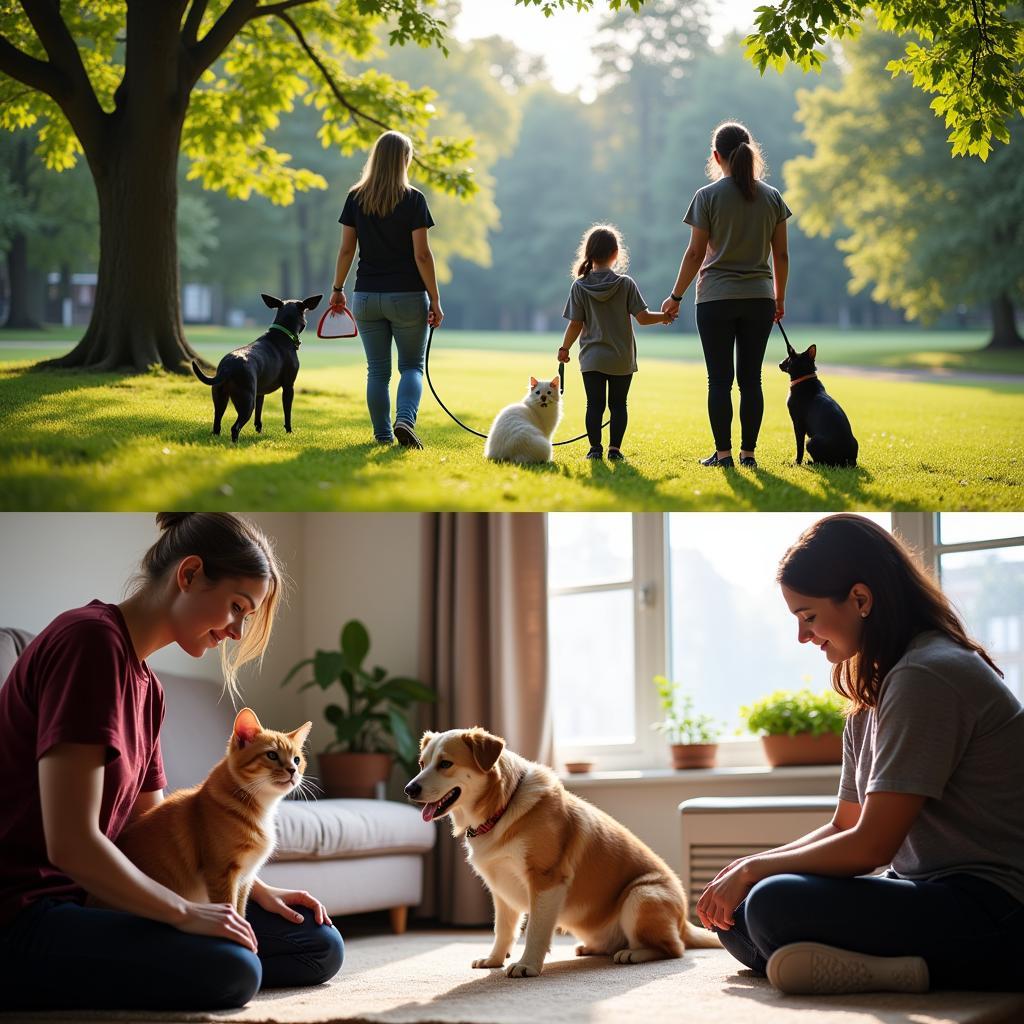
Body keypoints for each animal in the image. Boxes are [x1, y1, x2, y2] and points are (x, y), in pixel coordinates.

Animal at [117, 708, 311, 917]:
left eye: (297, 760)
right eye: (272, 755)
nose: (293, 770)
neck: (261, 810)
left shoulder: (245, 879)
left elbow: (240, 911)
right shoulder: (221, 874)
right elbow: (232, 911)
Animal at [190, 292, 319, 444]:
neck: (282, 334)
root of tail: (228, 366)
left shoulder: (260, 392)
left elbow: (259, 415)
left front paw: (259, 432)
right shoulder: (288, 386)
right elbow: (287, 413)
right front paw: (289, 431)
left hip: (220, 397)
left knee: (217, 425)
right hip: (246, 401)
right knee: (235, 427)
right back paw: (235, 443)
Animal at [405, 729, 720, 974]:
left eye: (445, 763)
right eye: (422, 763)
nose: (409, 788)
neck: (501, 809)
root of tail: (684, 922)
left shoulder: (546, 880)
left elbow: (535, 931)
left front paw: (527, 965)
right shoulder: (501, 890)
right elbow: (503, 931)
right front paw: (494, 960)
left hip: (640, 896)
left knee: (674, 949)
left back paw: (634, 953)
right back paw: (592, 948)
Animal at [778, 335, 860, 468]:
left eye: (789, 357)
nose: (779, 363)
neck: (804, 378)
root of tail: (849, 461)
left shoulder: (798, 424)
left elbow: (799, 448)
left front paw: (796, 463)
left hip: (811, 441)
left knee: (822, 462)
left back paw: (809, 462)